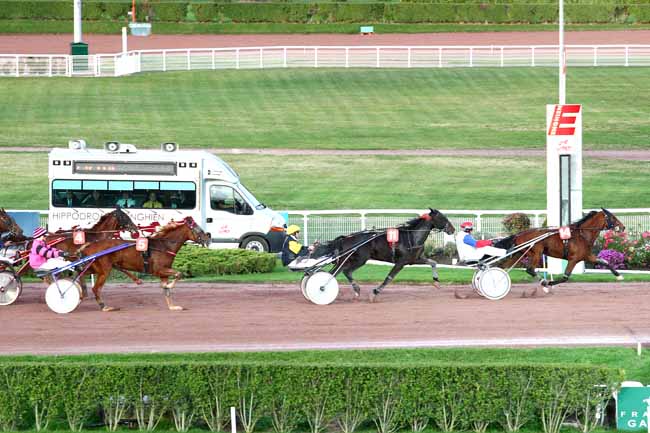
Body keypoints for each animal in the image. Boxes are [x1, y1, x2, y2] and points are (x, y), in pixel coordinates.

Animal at [78, 216, 210, 310]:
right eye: (199, 230)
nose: (208, 239)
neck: (163, 246)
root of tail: (90, 245)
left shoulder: (164, 273)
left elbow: (167, 290)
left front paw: (172, 306)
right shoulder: (159, 270)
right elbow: (179, 274)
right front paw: (169, 286)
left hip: (95, 268)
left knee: (81, 274)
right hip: (105, 270)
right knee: (95, 288)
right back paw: (104, 306)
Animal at [310, 208, 454, 302]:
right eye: (443, 217)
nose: (452, 229)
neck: (412, 237)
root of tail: (345, 238)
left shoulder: (414, 259)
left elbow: (433, 262)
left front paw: (436, 282)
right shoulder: (401, 262)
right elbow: (389, 278)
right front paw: (374, 293)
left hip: (347, 259)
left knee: (335, 272)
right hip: (359, 259)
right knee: (345, 271)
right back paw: (325, 288)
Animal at [494, 207, 624, 296]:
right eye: (613, 217)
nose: (623, 227)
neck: (581, 235)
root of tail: (518, 235)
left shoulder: (587, 256)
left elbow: (605, 262)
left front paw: (619, 276)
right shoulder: (573, 259)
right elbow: (565, 277)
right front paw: (549, 283)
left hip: (519, 254)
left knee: (503, 267)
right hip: (537, 252)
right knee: (530, 269)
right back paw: (544, 283)